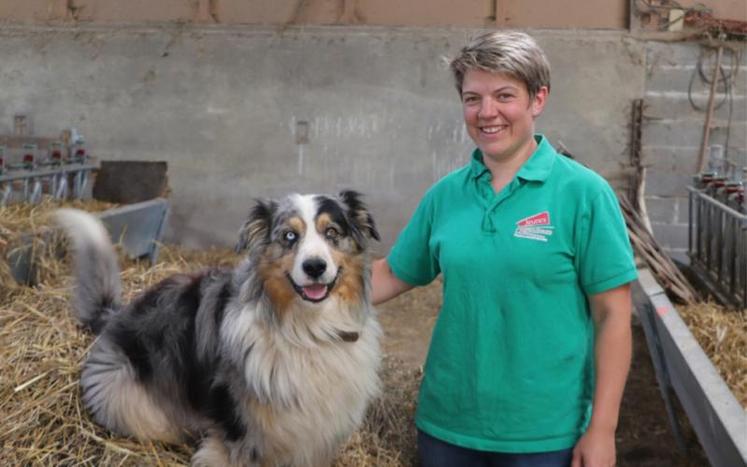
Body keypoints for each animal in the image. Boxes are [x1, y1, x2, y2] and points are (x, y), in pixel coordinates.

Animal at [57, 191, 382, 467]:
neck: (307, 329)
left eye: (332, 233)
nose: (314, 267)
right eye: (289, 236)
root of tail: (114, 316)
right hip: (131, 401)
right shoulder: (235, 421)